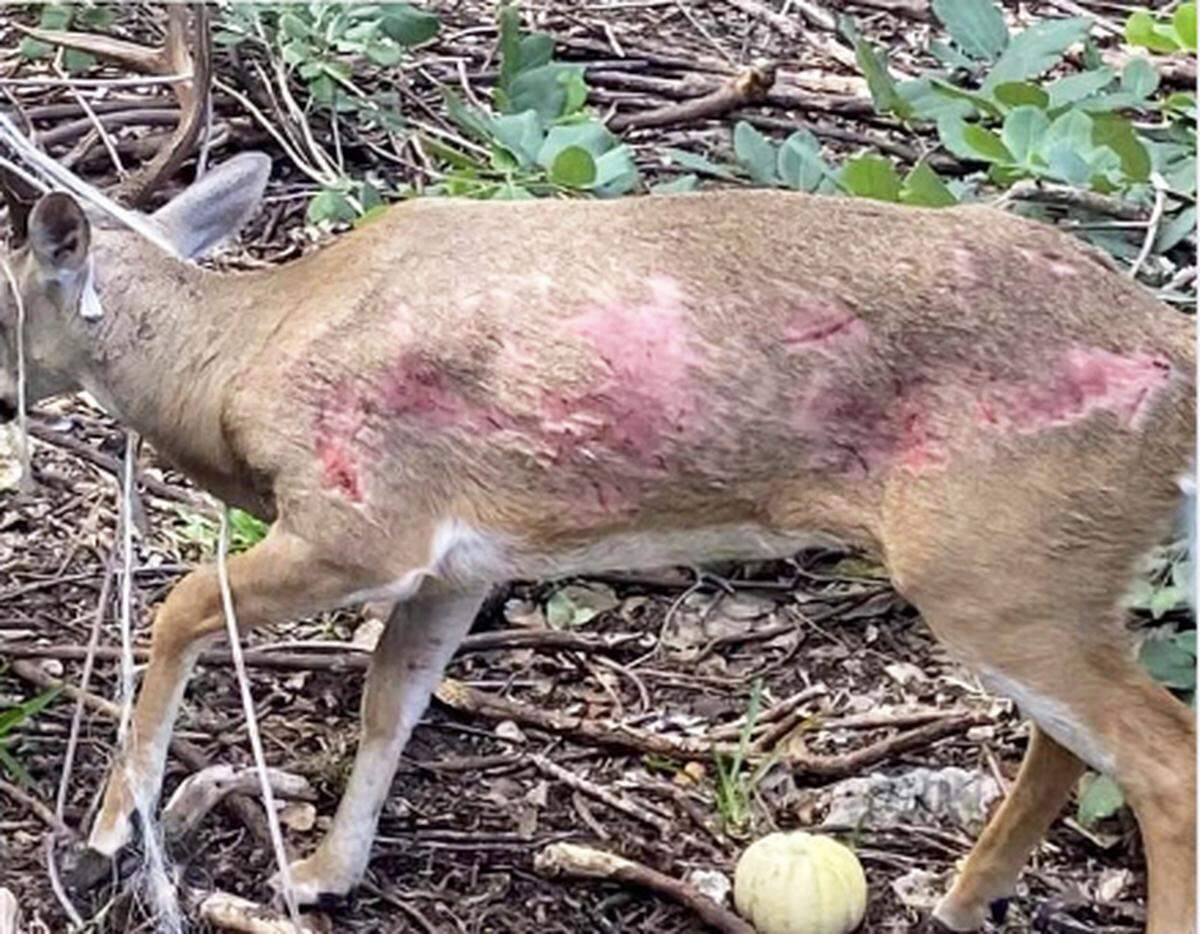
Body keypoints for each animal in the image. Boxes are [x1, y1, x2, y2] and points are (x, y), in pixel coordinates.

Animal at [1, 8, 1195, 933]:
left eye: (5, 296)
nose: (6, 395)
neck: (242, 358)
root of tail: (1173, 358)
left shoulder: (361, 516)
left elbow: (181, 609)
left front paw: (106, 832)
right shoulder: (461, 564)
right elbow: (393, 699)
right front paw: (323, 873)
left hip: (997, 554)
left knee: (1160, 755)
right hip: (1042, 564)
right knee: (1071, 742)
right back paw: (956, 898)